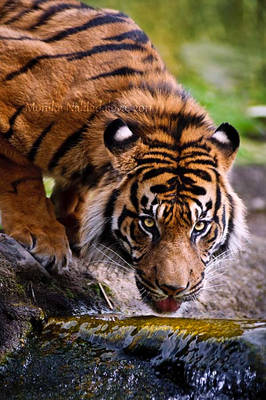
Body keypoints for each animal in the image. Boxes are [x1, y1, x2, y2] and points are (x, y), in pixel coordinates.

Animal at [0, 0, 247, 312]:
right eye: (148, 223)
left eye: (200, 226)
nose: (173, 289)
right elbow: (20, 174)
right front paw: (44, 237)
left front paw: (72, 223)